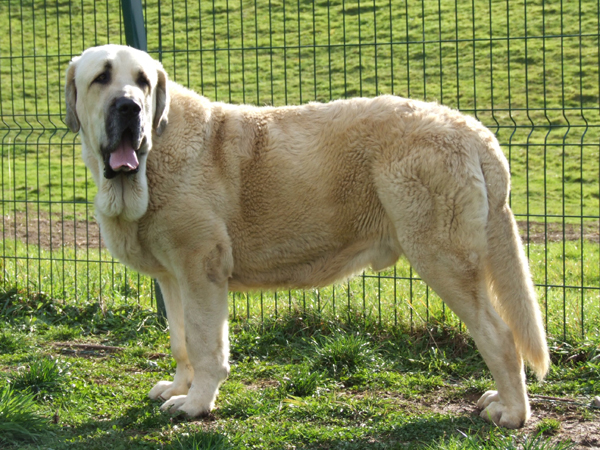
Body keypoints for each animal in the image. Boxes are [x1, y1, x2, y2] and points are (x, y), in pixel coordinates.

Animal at [64, 45, 548, 428]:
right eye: (102, 78)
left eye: (143, 83)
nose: (129, 107)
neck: (154, 155)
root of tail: (473, 129)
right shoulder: (173, 278)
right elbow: (180, 340)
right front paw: (179, 387)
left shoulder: (201, 269)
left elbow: (204, 345)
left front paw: (197, 403)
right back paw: (501, 399)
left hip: (442, 256)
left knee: (499, 337)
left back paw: (513, 412)